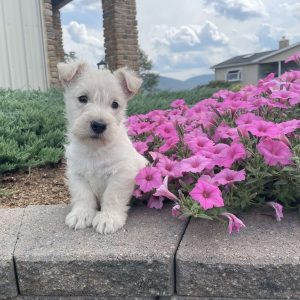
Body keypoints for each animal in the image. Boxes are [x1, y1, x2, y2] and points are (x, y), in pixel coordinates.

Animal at [57, 61, 148, 234]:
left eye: (115, 104)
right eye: (83, 98)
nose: (98, 125)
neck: (95, 149)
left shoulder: (121, 174)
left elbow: (113, 196)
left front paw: (108, 218)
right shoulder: (77, 174)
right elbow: (83, 195)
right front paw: (81, 215)